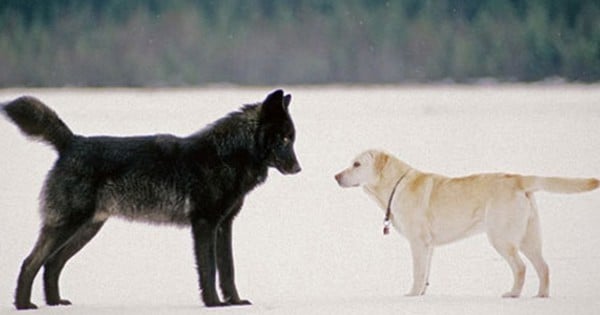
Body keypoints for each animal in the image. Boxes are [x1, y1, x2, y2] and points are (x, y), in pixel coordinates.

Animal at [0, 89, 300, 312]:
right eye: (284, 138)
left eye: (293, 138)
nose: (298, 168)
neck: (225, 155)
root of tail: (72, 142)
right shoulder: (204, 225)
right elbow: (209, 269)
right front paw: (214, 304)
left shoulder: (224, 225)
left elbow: (228, 269)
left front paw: (235, 302)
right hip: (69, 225)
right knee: (30, 262)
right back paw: (24, 305)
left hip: (87, 229)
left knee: (51, 264)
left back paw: (55, 303)